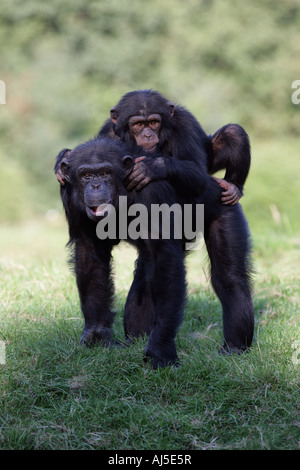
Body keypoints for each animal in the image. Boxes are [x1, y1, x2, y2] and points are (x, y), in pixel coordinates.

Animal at [56, 137, 188, 370]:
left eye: (105, 172)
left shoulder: (152, 191)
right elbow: (89, 253)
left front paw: (160, 347)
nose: (95, 185)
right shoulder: (69, 196)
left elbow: (163, 255)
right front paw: (96, 333)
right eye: (86, 175)